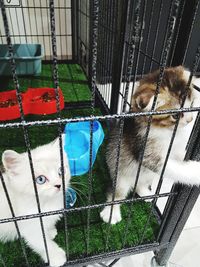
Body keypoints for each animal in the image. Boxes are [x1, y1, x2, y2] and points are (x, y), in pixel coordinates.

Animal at [0, 137, 70, 266]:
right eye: (40, 179)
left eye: (61, 171)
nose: (59, 185)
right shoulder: (29, 226)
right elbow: (42, 243)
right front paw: (56, 257)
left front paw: (49, 231)